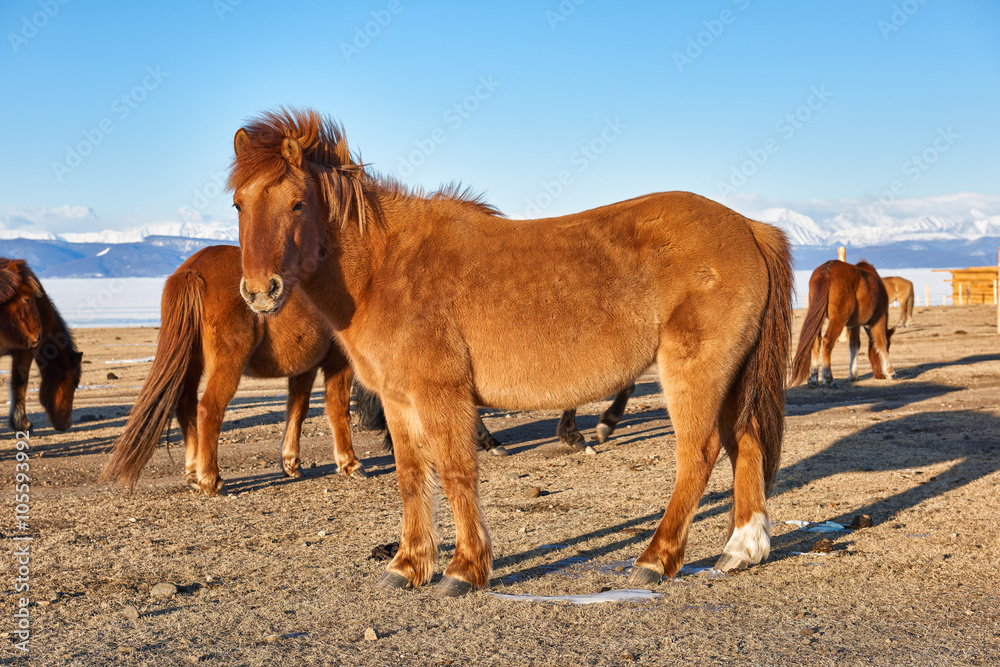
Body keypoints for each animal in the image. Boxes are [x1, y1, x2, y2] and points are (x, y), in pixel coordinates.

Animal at [99, 245, 367, 495]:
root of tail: (192, 270)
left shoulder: (304, 367)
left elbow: (297, 409)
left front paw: (290, 462)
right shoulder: (339, 361)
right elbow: (338, 408)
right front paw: (349, 463)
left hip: (192, 362)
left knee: (186, 406)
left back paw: (194, 471)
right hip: (227, 362)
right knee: (208, 409)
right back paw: (210, 479)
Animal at [230, 109, 793, 596]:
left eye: (298, 203)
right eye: (239, 204)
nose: (260, 292)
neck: (385, 267)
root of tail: (749, 227)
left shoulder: (441, 395)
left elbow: (456, 472)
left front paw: (463, 569)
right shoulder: (397, 400)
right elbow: (411, 477)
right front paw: (408, 566)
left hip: (695, 373)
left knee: (699, 454)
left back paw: (655, 559)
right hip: (732, 377)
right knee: (745, 442)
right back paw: (742, 549)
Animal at [791, 260, 895, 388]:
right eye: (890, 346)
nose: (879, 376)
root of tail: (827, 270)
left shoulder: (854, 325)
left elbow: (854, 345)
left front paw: (853, 374)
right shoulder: (879, 317)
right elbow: (881, 342)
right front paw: (889, 371)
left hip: (819, 316)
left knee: (816, 342)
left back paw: (813, 378)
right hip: (838, 318)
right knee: (827, 341)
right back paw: (828, 378)